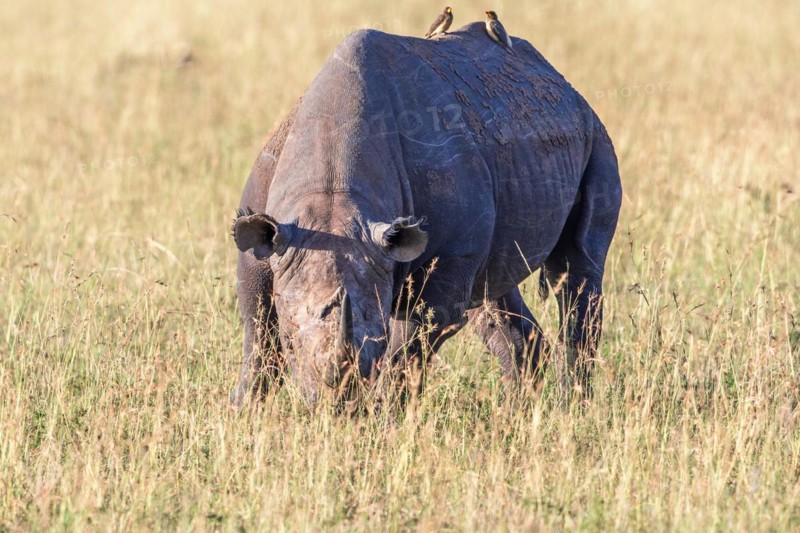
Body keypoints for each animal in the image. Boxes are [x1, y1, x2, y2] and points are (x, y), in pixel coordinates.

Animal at [230, 22, 622, 405]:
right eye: (292, 343)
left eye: (377, 338)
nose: (337, 404)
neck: (332, 189)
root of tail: (562, 84)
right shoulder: (269, 236)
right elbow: (259, 333)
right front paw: (246, 409)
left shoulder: (446, 259)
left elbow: (407, 349)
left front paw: (385, 414)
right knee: (495, 287)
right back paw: (517, 413)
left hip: (596, 137)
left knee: (575, 272)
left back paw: (572, 407)